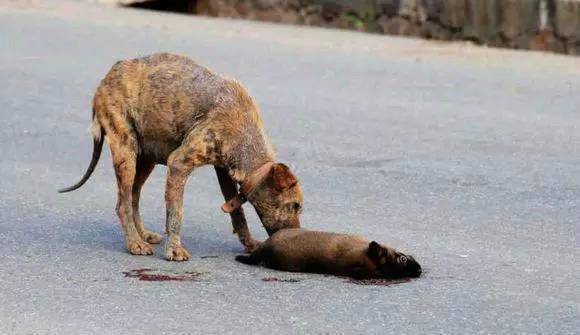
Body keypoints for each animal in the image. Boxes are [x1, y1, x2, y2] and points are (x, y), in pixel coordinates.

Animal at [58, 53, 304, 262]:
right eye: (295, 206)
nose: (296, 236)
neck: (244, 131)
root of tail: (108, 76)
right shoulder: (178, 164)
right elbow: (176, 213)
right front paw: (174, 249)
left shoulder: (223, 171)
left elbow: (238, 214)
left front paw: (250, 243)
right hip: (125, 152)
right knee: (123, 204)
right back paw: (134, 242)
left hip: (145, 158)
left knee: (133, 197)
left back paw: (143, 234)